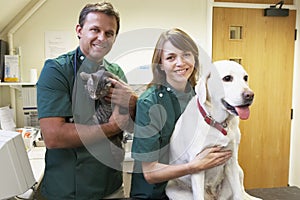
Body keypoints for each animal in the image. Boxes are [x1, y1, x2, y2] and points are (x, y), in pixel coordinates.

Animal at [165, 60, 262, 199]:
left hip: (238, 171)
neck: (218, 122)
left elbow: (238, 194)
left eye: (245, 78)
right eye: (227, 78)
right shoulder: (198, 165)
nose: (250, 95)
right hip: (173, 190)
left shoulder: (231, 161)